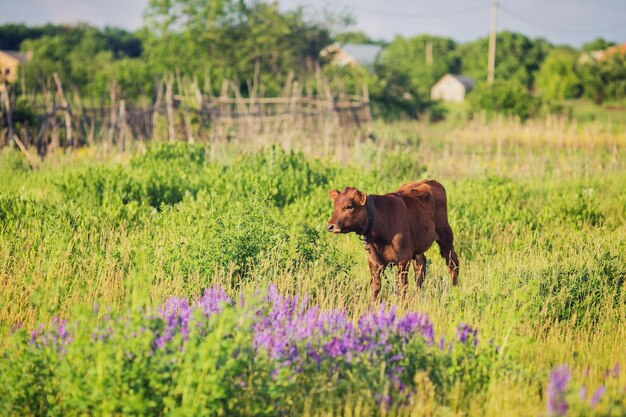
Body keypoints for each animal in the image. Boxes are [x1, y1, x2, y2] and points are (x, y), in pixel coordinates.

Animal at [326, 179, 458, 302]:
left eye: (349, 206)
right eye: (335, 206)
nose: (330, 226)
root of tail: (430, 181)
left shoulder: (403, 259)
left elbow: (402, 286)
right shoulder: (373, 262)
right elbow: (375, 288)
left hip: (445, 235)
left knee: (453, 262)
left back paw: (455, 290)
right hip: (418, 246)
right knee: (420, 266)